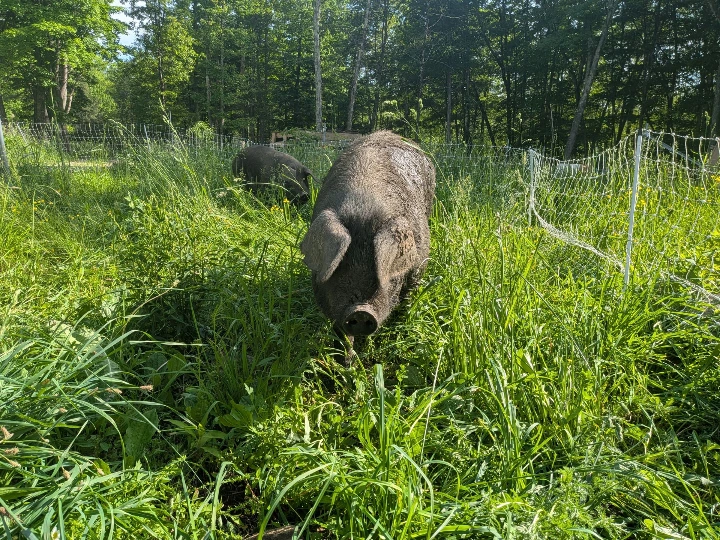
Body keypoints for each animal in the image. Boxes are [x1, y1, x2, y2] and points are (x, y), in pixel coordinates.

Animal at [299, 131, 436, 362]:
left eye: (386, 274)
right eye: (340, 267)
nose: (361, 311)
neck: (364, 207)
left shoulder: (418, 267)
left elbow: (407, 302)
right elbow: (341, 332)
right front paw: (346, 363)